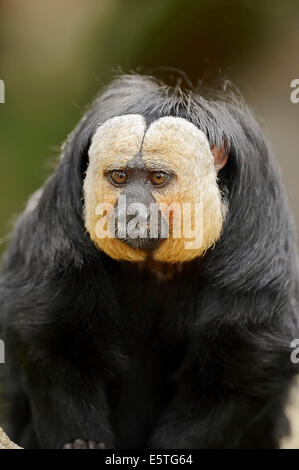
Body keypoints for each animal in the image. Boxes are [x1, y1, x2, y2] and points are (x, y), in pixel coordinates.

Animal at [0, 72, 299, 448]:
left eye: (158, 178)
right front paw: (82, 441)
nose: (132, 210)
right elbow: (54, 338)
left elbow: (238, 370)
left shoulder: (257, 239)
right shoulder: (61, 219)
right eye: (119, 177)